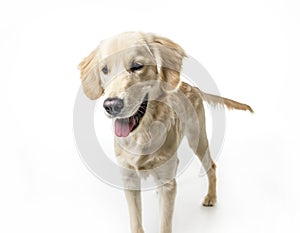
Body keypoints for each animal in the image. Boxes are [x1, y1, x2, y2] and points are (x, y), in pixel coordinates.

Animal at [78, 31, 253, 233]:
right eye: (105, 70)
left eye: (137, 66)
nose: (111, 105)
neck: (142, 133)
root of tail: (192, 87)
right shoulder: (129, 180)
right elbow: (136, 222)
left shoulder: (167, 185)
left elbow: (165, 223)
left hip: (197, 138)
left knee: (211, 166)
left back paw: (211, 197)